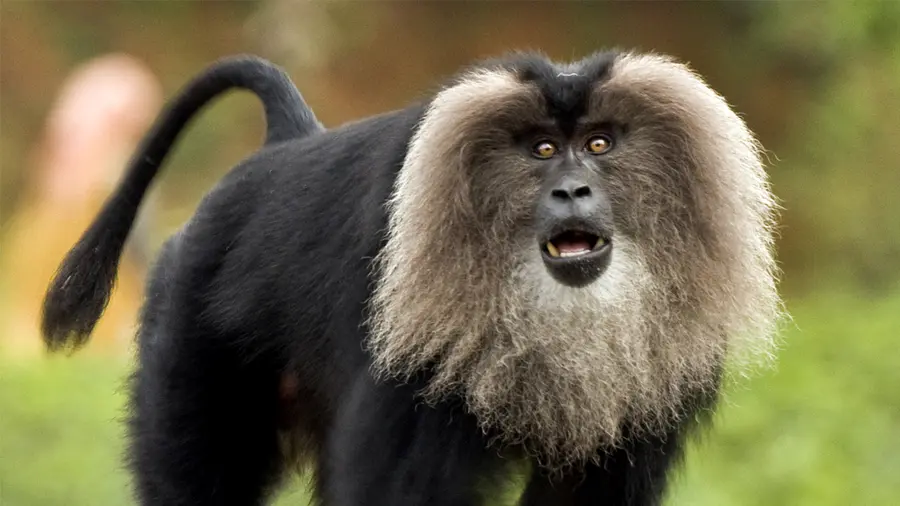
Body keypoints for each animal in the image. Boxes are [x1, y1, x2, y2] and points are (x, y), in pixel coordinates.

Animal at [42, 50, 781, 506]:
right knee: (196, 477)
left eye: (599, 144)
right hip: (187, 335)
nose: (572, 191)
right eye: (542, 149)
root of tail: (284, 146)